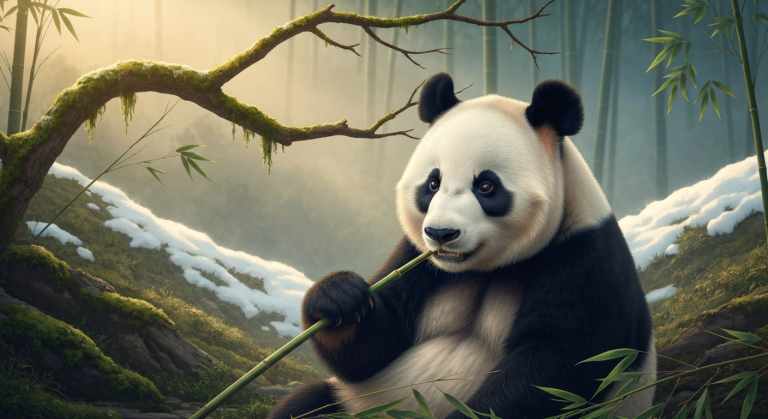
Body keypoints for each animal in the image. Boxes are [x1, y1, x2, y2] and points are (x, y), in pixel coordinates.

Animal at [268, 73, 655, 419]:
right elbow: (375, 348)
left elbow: (558, 368)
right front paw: (340, 297)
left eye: (486, 186)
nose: (441, 233)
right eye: (433, 183)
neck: (485, 268)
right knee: (305, 405)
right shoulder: (416, 258)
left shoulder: (585, 258)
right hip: (352, 402)